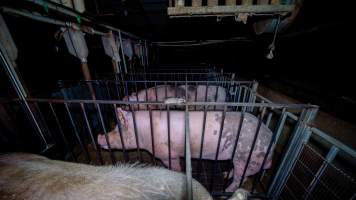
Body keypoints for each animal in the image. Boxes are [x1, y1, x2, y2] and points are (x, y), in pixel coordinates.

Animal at [98, 108, 274, 191]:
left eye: (117, 129)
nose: (99, 137)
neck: (145, 134)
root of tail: (270, 139)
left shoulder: (168, 153)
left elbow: (175, 167)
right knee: (240, 175)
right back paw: (225, 175)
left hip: (246, 156)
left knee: (241, 178)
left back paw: (227, 189)